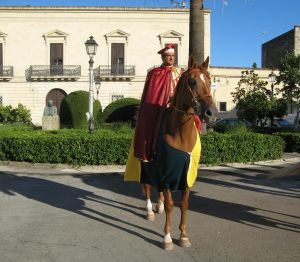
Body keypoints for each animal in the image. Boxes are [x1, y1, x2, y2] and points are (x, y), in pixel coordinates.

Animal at [157, 56, 218, 250]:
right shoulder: (167, 173)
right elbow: (170, 205)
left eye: (210, 80)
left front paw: (183, 236)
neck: (180, 135)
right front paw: (167, 237)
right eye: (192, 82)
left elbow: (184, 204)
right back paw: (150, 210)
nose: (212, 113)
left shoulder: (188, 175)